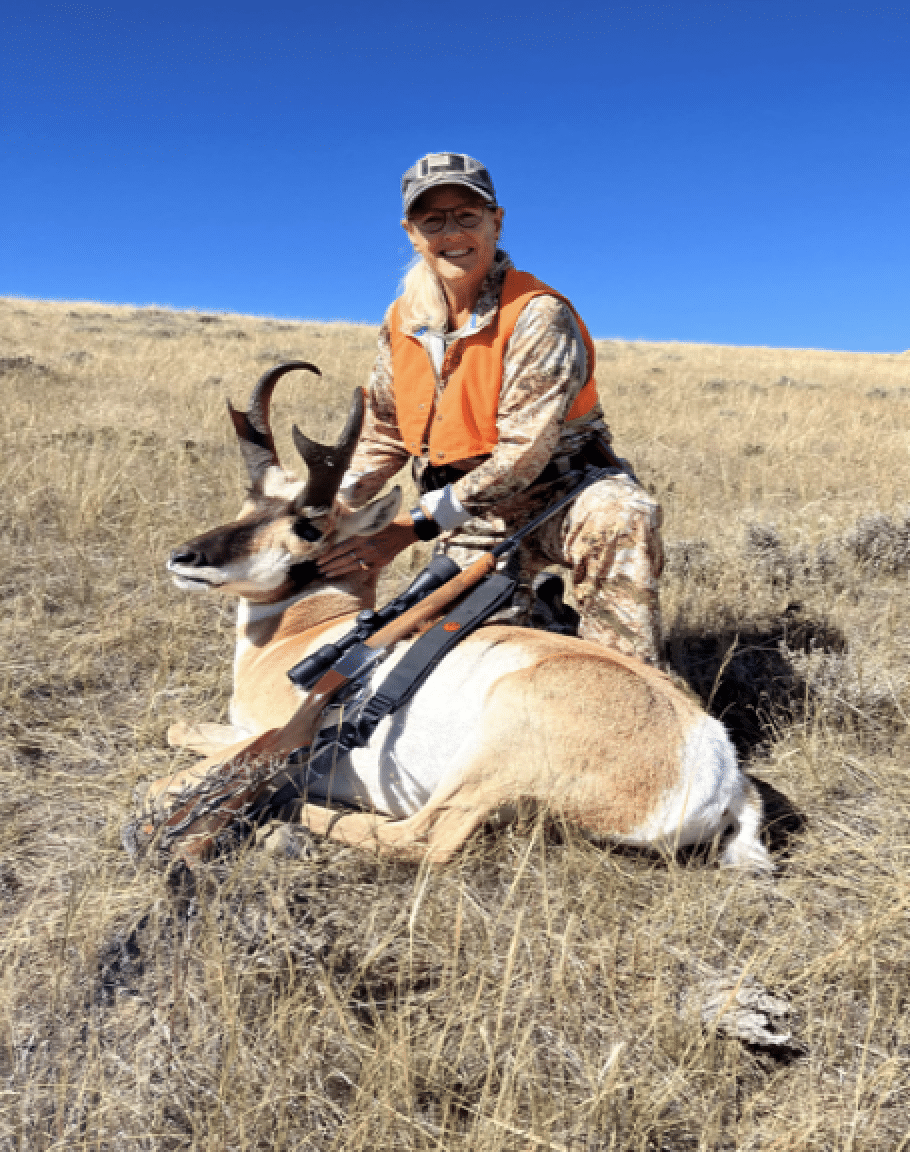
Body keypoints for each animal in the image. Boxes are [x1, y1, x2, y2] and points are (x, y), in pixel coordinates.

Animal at [146, 364, 774, 866]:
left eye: (306, 527)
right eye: (248, 503)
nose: (184, 557)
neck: (313, 634)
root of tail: (720, 765)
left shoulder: (265, 735)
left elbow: (163, 785)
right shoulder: (243, 732)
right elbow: (180, 728)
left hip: (492, 754)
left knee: (426, 837)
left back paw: (291, 815)